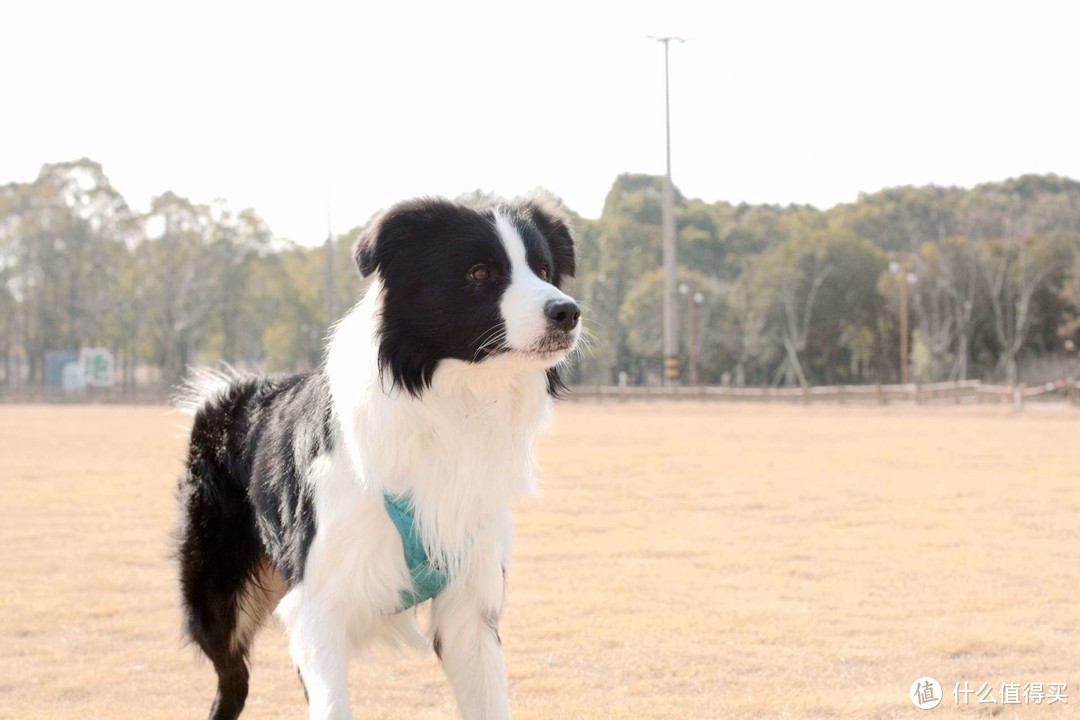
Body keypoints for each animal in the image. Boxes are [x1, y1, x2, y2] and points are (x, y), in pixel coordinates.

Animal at [174, 195, 583, 720]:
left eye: (544, 269)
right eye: (479, 272)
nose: (567, 312)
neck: (450, 405)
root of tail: (228, 394)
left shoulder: (472, 604)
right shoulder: (318, 603)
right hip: (215, 597)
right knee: (232, 682)